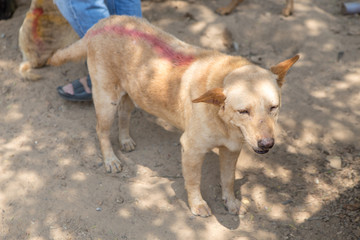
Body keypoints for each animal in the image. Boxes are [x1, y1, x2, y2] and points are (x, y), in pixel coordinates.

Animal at [48, 15, 300, 218]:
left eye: (274, 107)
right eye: (243, 111)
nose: (267, 144)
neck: (225, 121)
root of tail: (100, 24)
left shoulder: (231, 150)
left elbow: (228, 179)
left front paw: (231, 202)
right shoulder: (191, 149)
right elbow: (193, 180)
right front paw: (197, 205)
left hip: (132, 94)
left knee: (124, 115)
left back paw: (125, 140)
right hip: (105, 99)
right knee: (101, 131)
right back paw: (110, 160)